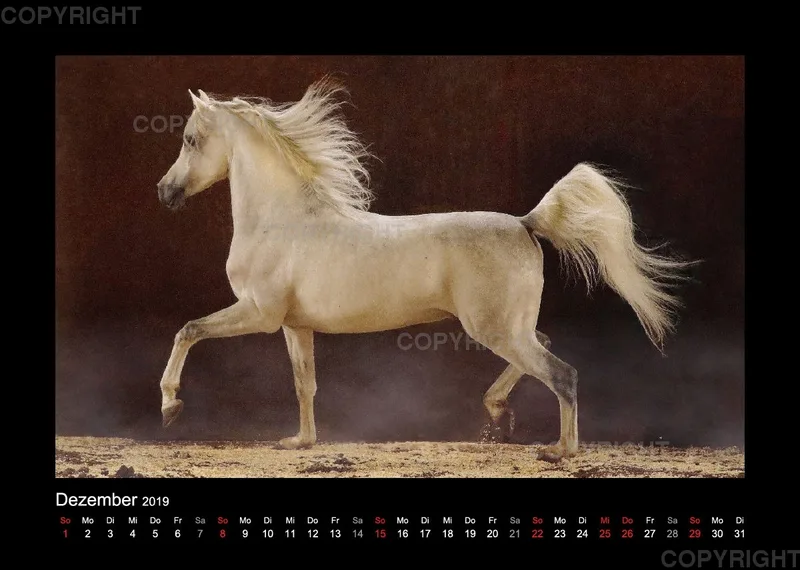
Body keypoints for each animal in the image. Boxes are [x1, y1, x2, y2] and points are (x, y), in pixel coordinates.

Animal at [155, 78, 692, 460]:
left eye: (190, 139)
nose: (164, 191)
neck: (283, 219)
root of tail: (525, 223)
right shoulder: (293, 324)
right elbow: (304, 383)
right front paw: (300, 442)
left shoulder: (258, 313)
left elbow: (188, 330)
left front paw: (170, 405)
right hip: (509, 326)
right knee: (543, 347)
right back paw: (498, 410)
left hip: (493, 327)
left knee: (562, 374)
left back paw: (560, 451)